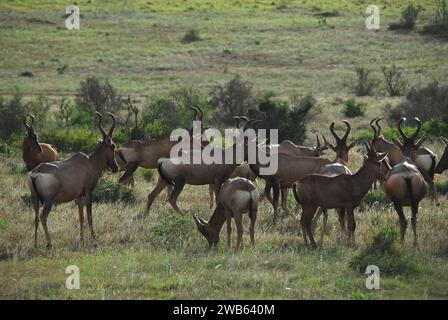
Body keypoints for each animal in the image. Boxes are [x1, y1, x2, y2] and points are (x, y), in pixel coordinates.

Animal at [26, 112, 118, 250]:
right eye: (113, 146)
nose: (116, 167)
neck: (89, 162)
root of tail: (35, 172)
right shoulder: (88, 191)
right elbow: (89, 216)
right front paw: (95, 242)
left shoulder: (78, 195)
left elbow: (81, 217)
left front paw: (81, 241)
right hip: (48, 200)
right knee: (43, 217)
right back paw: (49, 244)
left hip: (35, 199)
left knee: (36, 218)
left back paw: (36, 244)